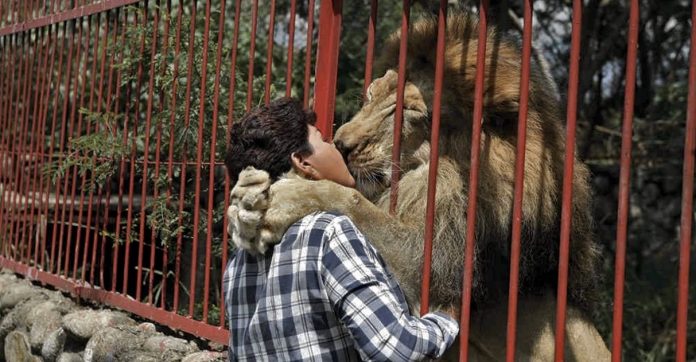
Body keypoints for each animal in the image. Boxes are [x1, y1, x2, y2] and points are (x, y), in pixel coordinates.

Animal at [228, 12, 608, 360]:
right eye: (371, 95)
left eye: (407, 112)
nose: (340, 144)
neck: (430, 176)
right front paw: (247, 199)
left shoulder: (434, 273)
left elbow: (351, 200)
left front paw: (281, 199)